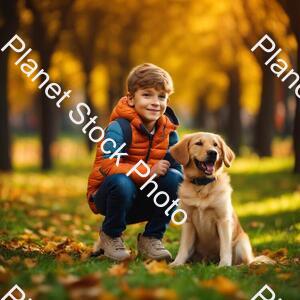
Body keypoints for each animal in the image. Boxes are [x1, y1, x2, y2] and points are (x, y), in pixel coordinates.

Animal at [170, 132, 274, 266]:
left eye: (215, 145)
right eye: (198, 143)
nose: (213, 153)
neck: (203, 185)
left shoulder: (223, 220)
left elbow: (225, 247)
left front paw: (224, 265)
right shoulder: (188, 222)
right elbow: (184, 247)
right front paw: (177, 263)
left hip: (242, 243)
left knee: (245, 263)